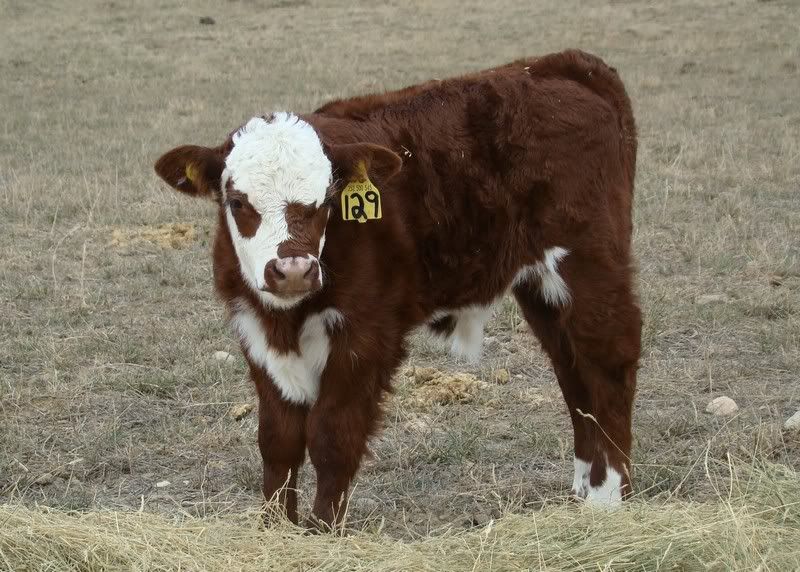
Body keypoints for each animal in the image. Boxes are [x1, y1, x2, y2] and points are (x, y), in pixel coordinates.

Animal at [154, 49, 641, 530]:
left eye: (327, 199)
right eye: (237, 202)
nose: (292, 271)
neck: (289, 317)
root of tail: (563, 64)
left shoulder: (368, 332)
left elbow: (332, 436)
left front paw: (323, 531)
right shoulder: (254, 327)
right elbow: (279, 438)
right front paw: (276, 528)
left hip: (589, 260)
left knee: (609, 361)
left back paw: (607, 498)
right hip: (541, 287)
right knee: (572, 370)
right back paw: (582, 489)